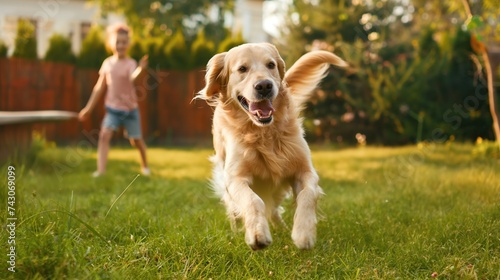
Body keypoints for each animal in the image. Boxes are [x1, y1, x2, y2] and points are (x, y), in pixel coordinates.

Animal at [195, 42, 348, 250]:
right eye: (242, 69)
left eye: (271, 65)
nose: (264, 86)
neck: (264, 133)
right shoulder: (235, 178)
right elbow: (252, 200)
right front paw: (257, 234)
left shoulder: (305, 170)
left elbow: (307, 195)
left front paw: (303, 233)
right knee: (236, 209)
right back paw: (237, 229)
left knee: (274, 209)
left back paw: (282, 228)